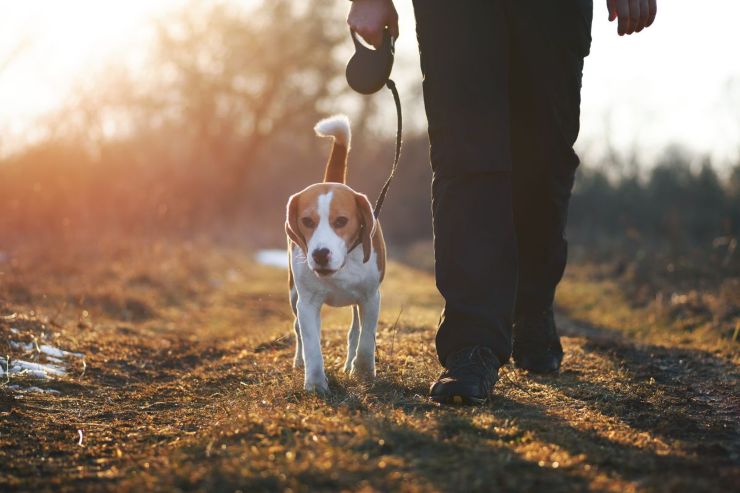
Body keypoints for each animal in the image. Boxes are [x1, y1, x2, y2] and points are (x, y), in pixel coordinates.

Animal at [284, 114, 384, 392]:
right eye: (307, 221)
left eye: (341, 221)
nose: (319, 254)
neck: (342, 266)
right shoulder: (307, 303)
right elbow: (312, 346)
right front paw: (315, 384)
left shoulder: (370, 297)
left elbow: (366, 340)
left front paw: (363, 373)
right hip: (294, 295)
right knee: (298, 330)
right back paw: (299, 361)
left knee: (355, 332)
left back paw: (350, 364)